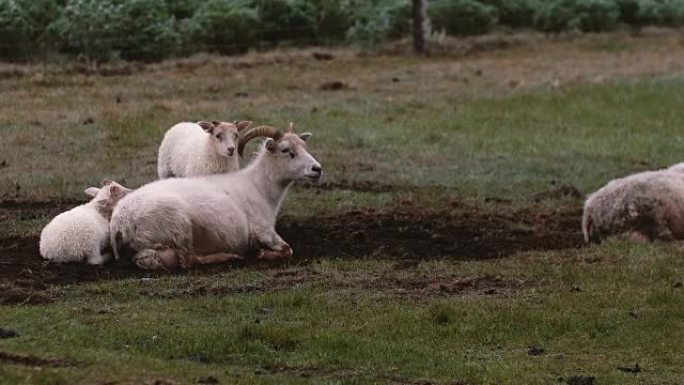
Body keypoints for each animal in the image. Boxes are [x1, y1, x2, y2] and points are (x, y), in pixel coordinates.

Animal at [112, 123, 324, 270]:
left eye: (304, 146)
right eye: (286, 150)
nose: (317, 169)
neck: (259, 187)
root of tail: (120, 222)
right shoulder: (262, 230)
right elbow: (288, 250)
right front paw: (261, 254)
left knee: (149, 259)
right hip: (178, 226)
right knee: (187, 260)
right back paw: (227, 257)